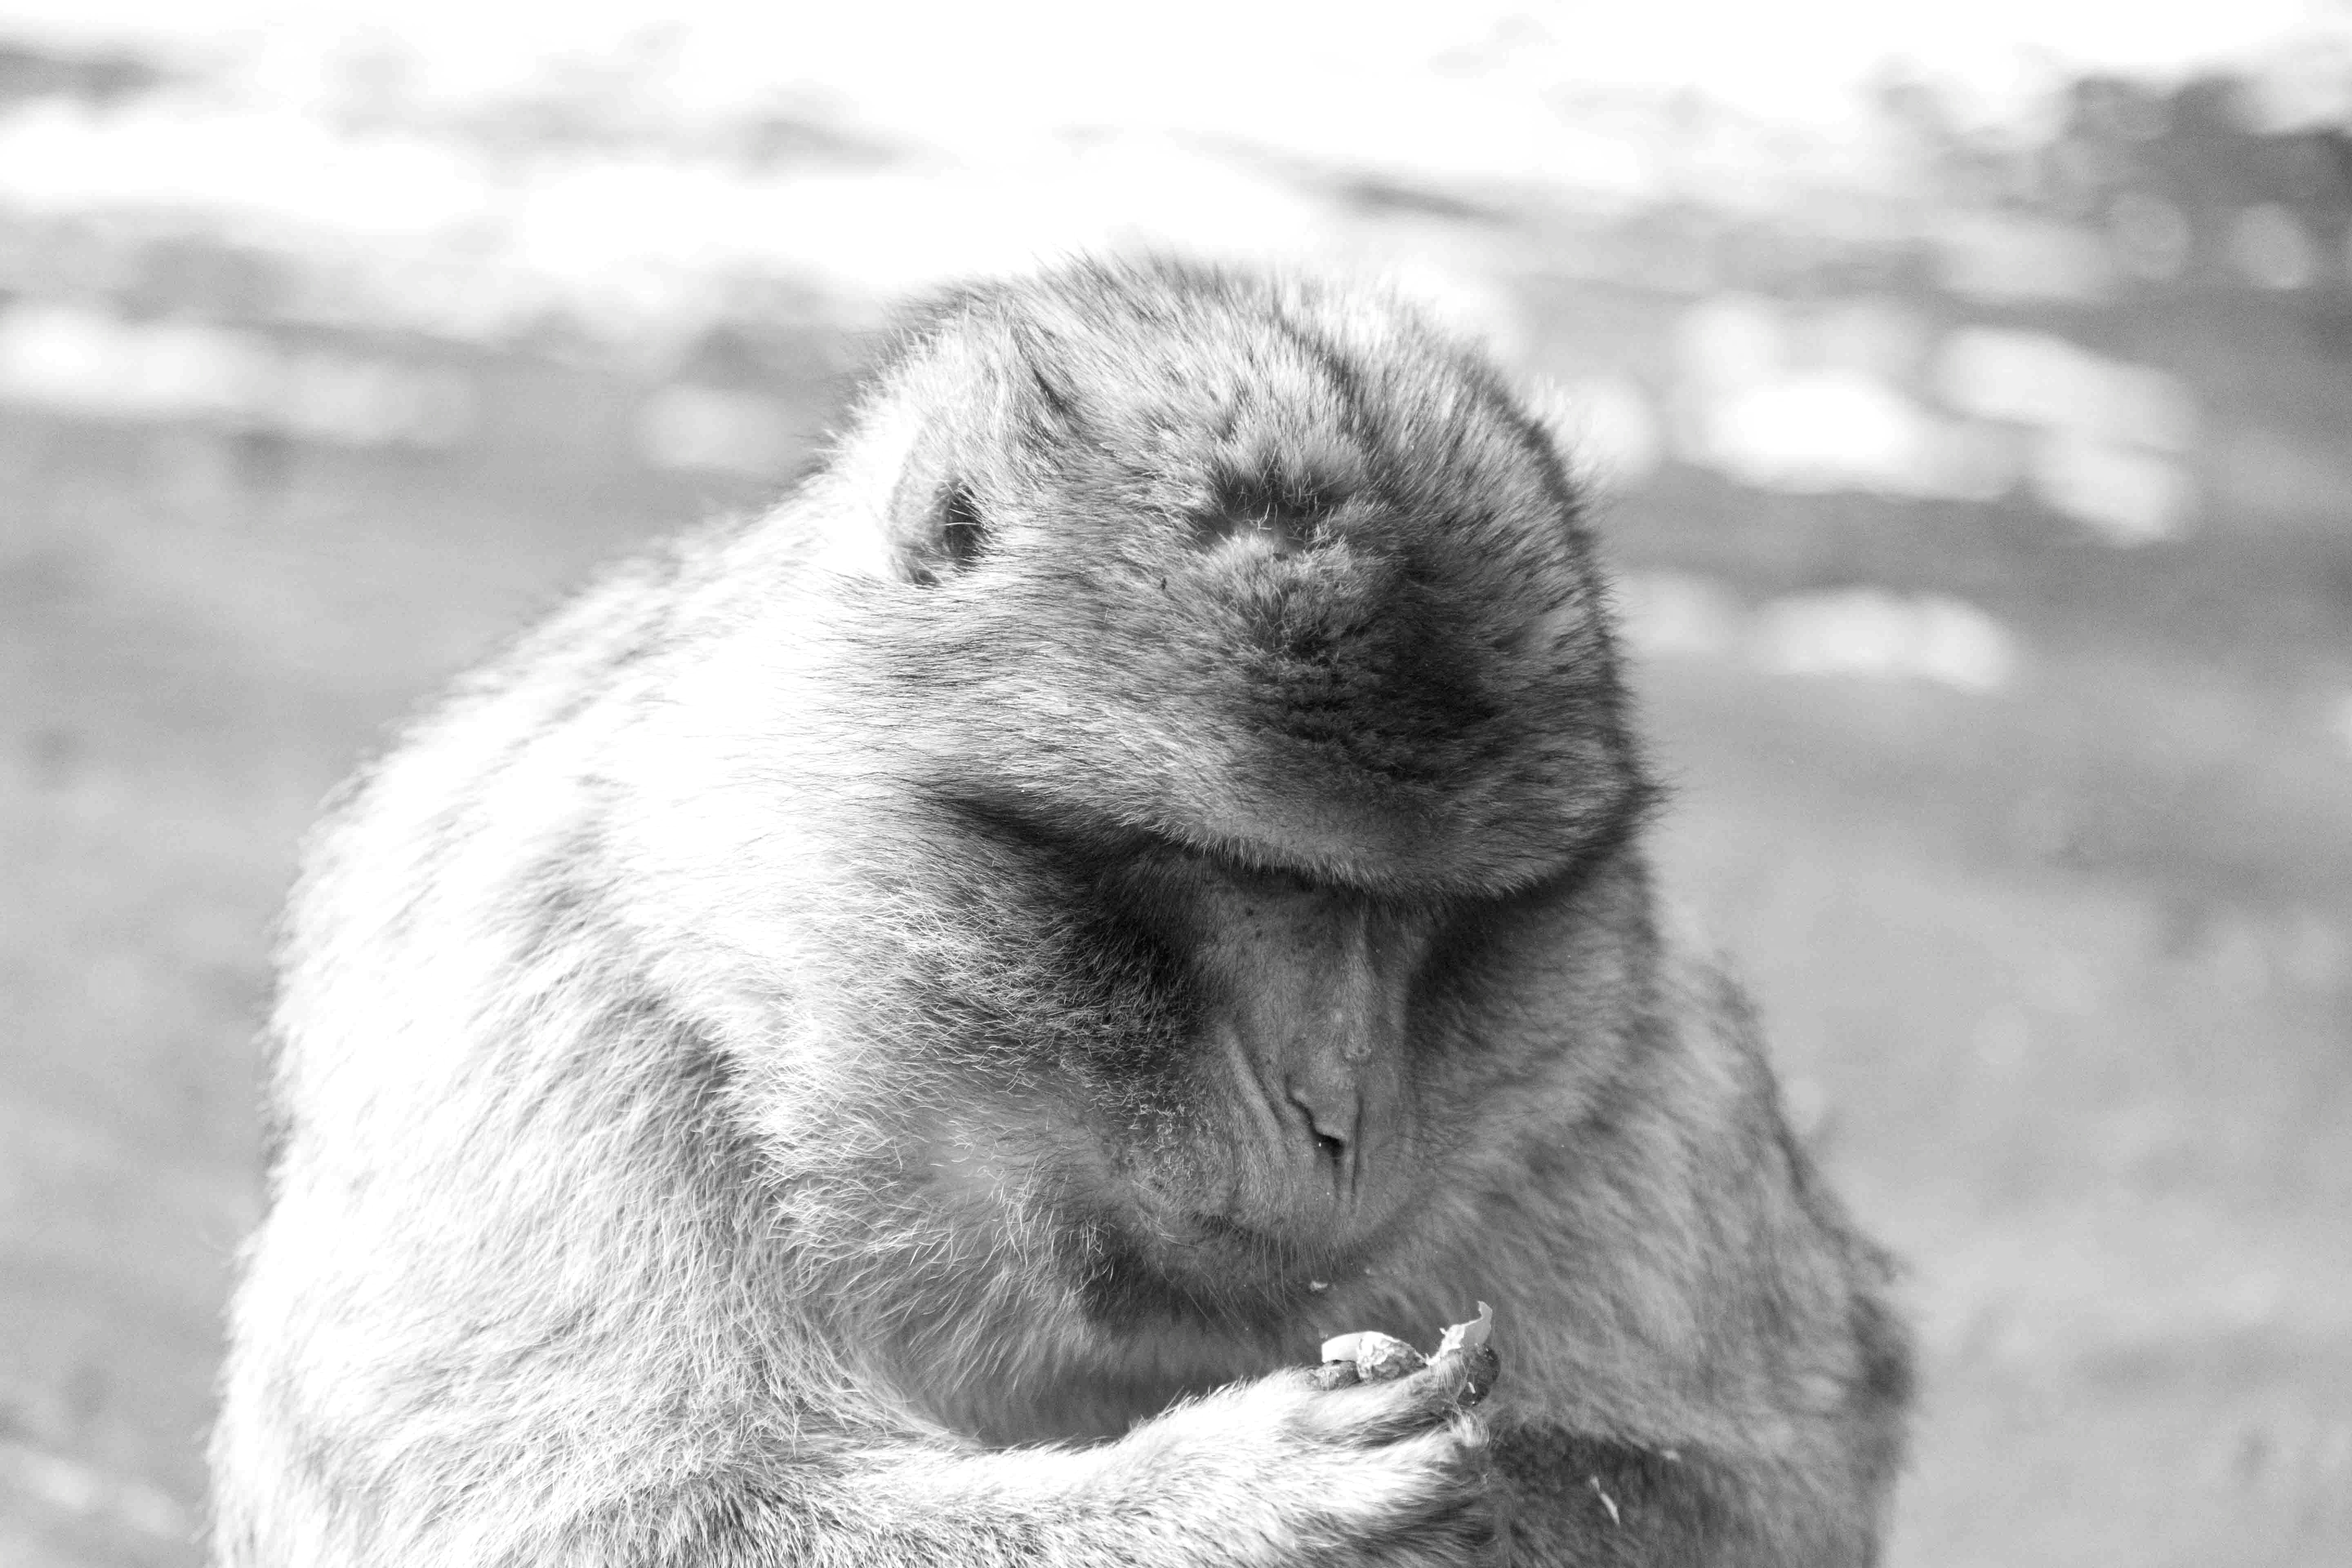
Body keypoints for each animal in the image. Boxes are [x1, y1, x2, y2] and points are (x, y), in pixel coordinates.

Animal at [207, 263, 1910, 1561]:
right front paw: (1250, 1498)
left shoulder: (1640, 1071)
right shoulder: (553, 1015)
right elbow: (598, 1510)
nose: (1343, 1114)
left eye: (1412, 916)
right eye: (1262, 882)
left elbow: (1776, 1485)